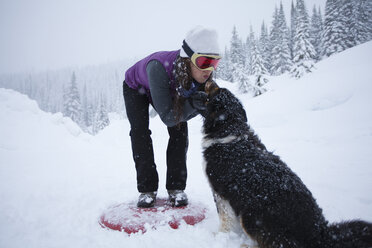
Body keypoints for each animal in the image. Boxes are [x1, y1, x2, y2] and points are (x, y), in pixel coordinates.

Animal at [201, 82, 372, 248]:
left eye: (216, 90)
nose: (210, 80)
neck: (228, 129)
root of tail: (319, 232)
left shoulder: (219, 191)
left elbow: (224, 218)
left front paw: (219, 236)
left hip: (251, 217)